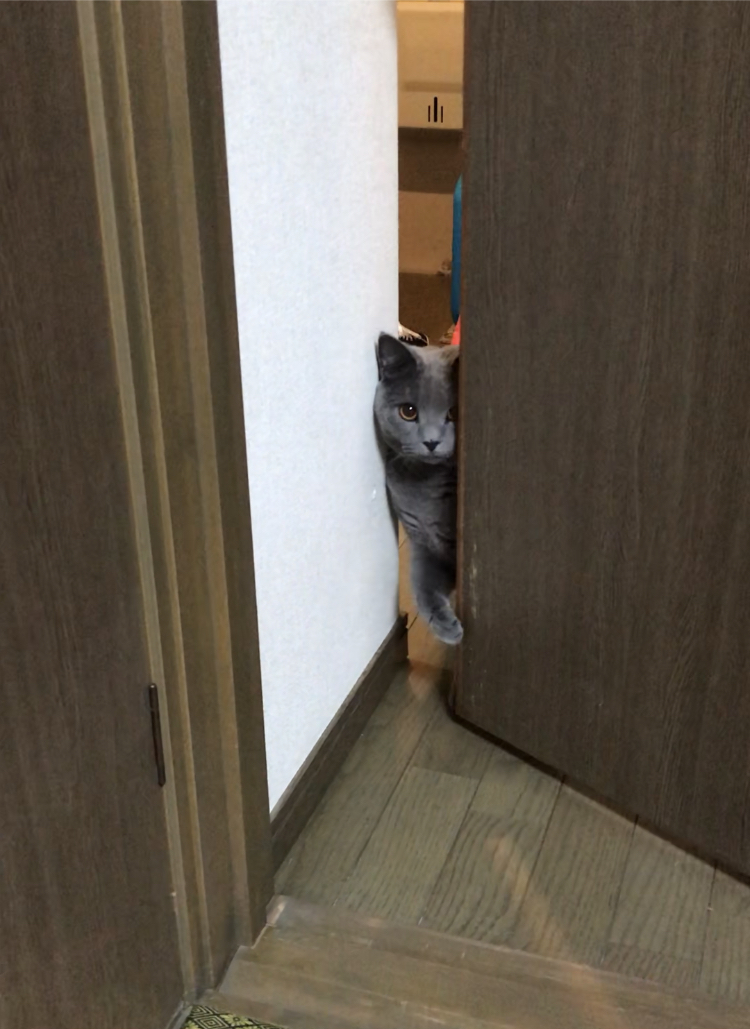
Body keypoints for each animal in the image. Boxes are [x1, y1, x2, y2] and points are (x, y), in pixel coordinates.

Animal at [374, 332, 462, 645]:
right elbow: (422, 585)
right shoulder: (423, 542)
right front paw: (446, 627)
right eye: (408, 412)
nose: (432, 442)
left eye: (455, 412)